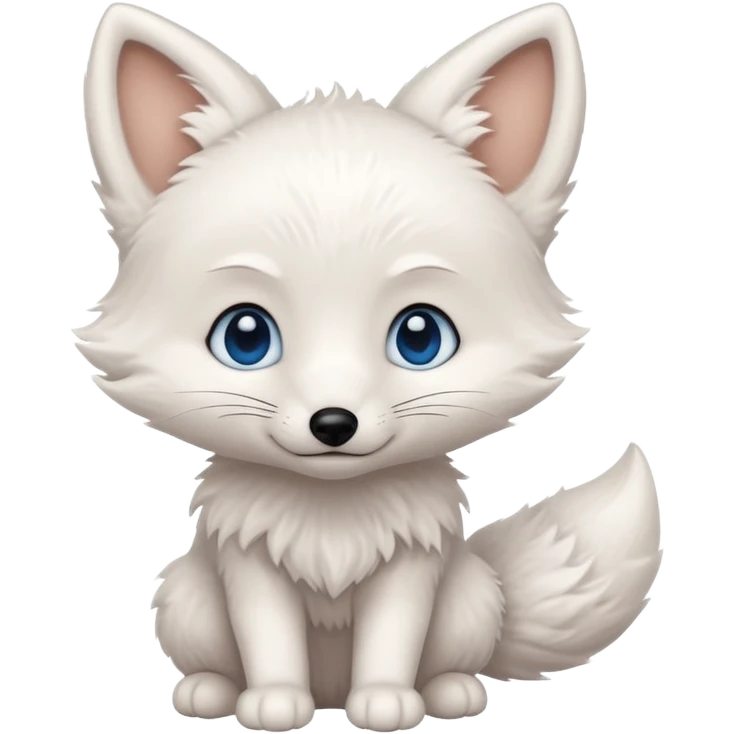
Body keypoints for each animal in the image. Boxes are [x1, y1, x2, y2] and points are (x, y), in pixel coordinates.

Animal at [78, 2, 663, 732]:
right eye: (245, 337)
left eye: (420, 337)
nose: (334, 423)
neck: (335, 514)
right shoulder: (250, 566)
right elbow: (267, 638)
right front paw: (274, 702)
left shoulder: (410, 567)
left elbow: (394, 638)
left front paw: (386, 701)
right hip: (186, 594)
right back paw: (211, 691)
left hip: (469, 595)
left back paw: (448, 691)